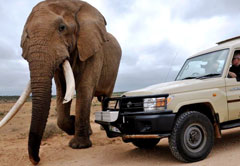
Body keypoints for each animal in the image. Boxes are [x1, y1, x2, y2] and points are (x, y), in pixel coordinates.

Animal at [0, 0, 121, 163]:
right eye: (27, 34)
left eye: (62, 28)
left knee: (105, 97)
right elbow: (62, 90)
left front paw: (79, 145)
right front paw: (72, 124)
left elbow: (84, 88)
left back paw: (103, 127)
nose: (36, 159)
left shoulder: (93, 50)